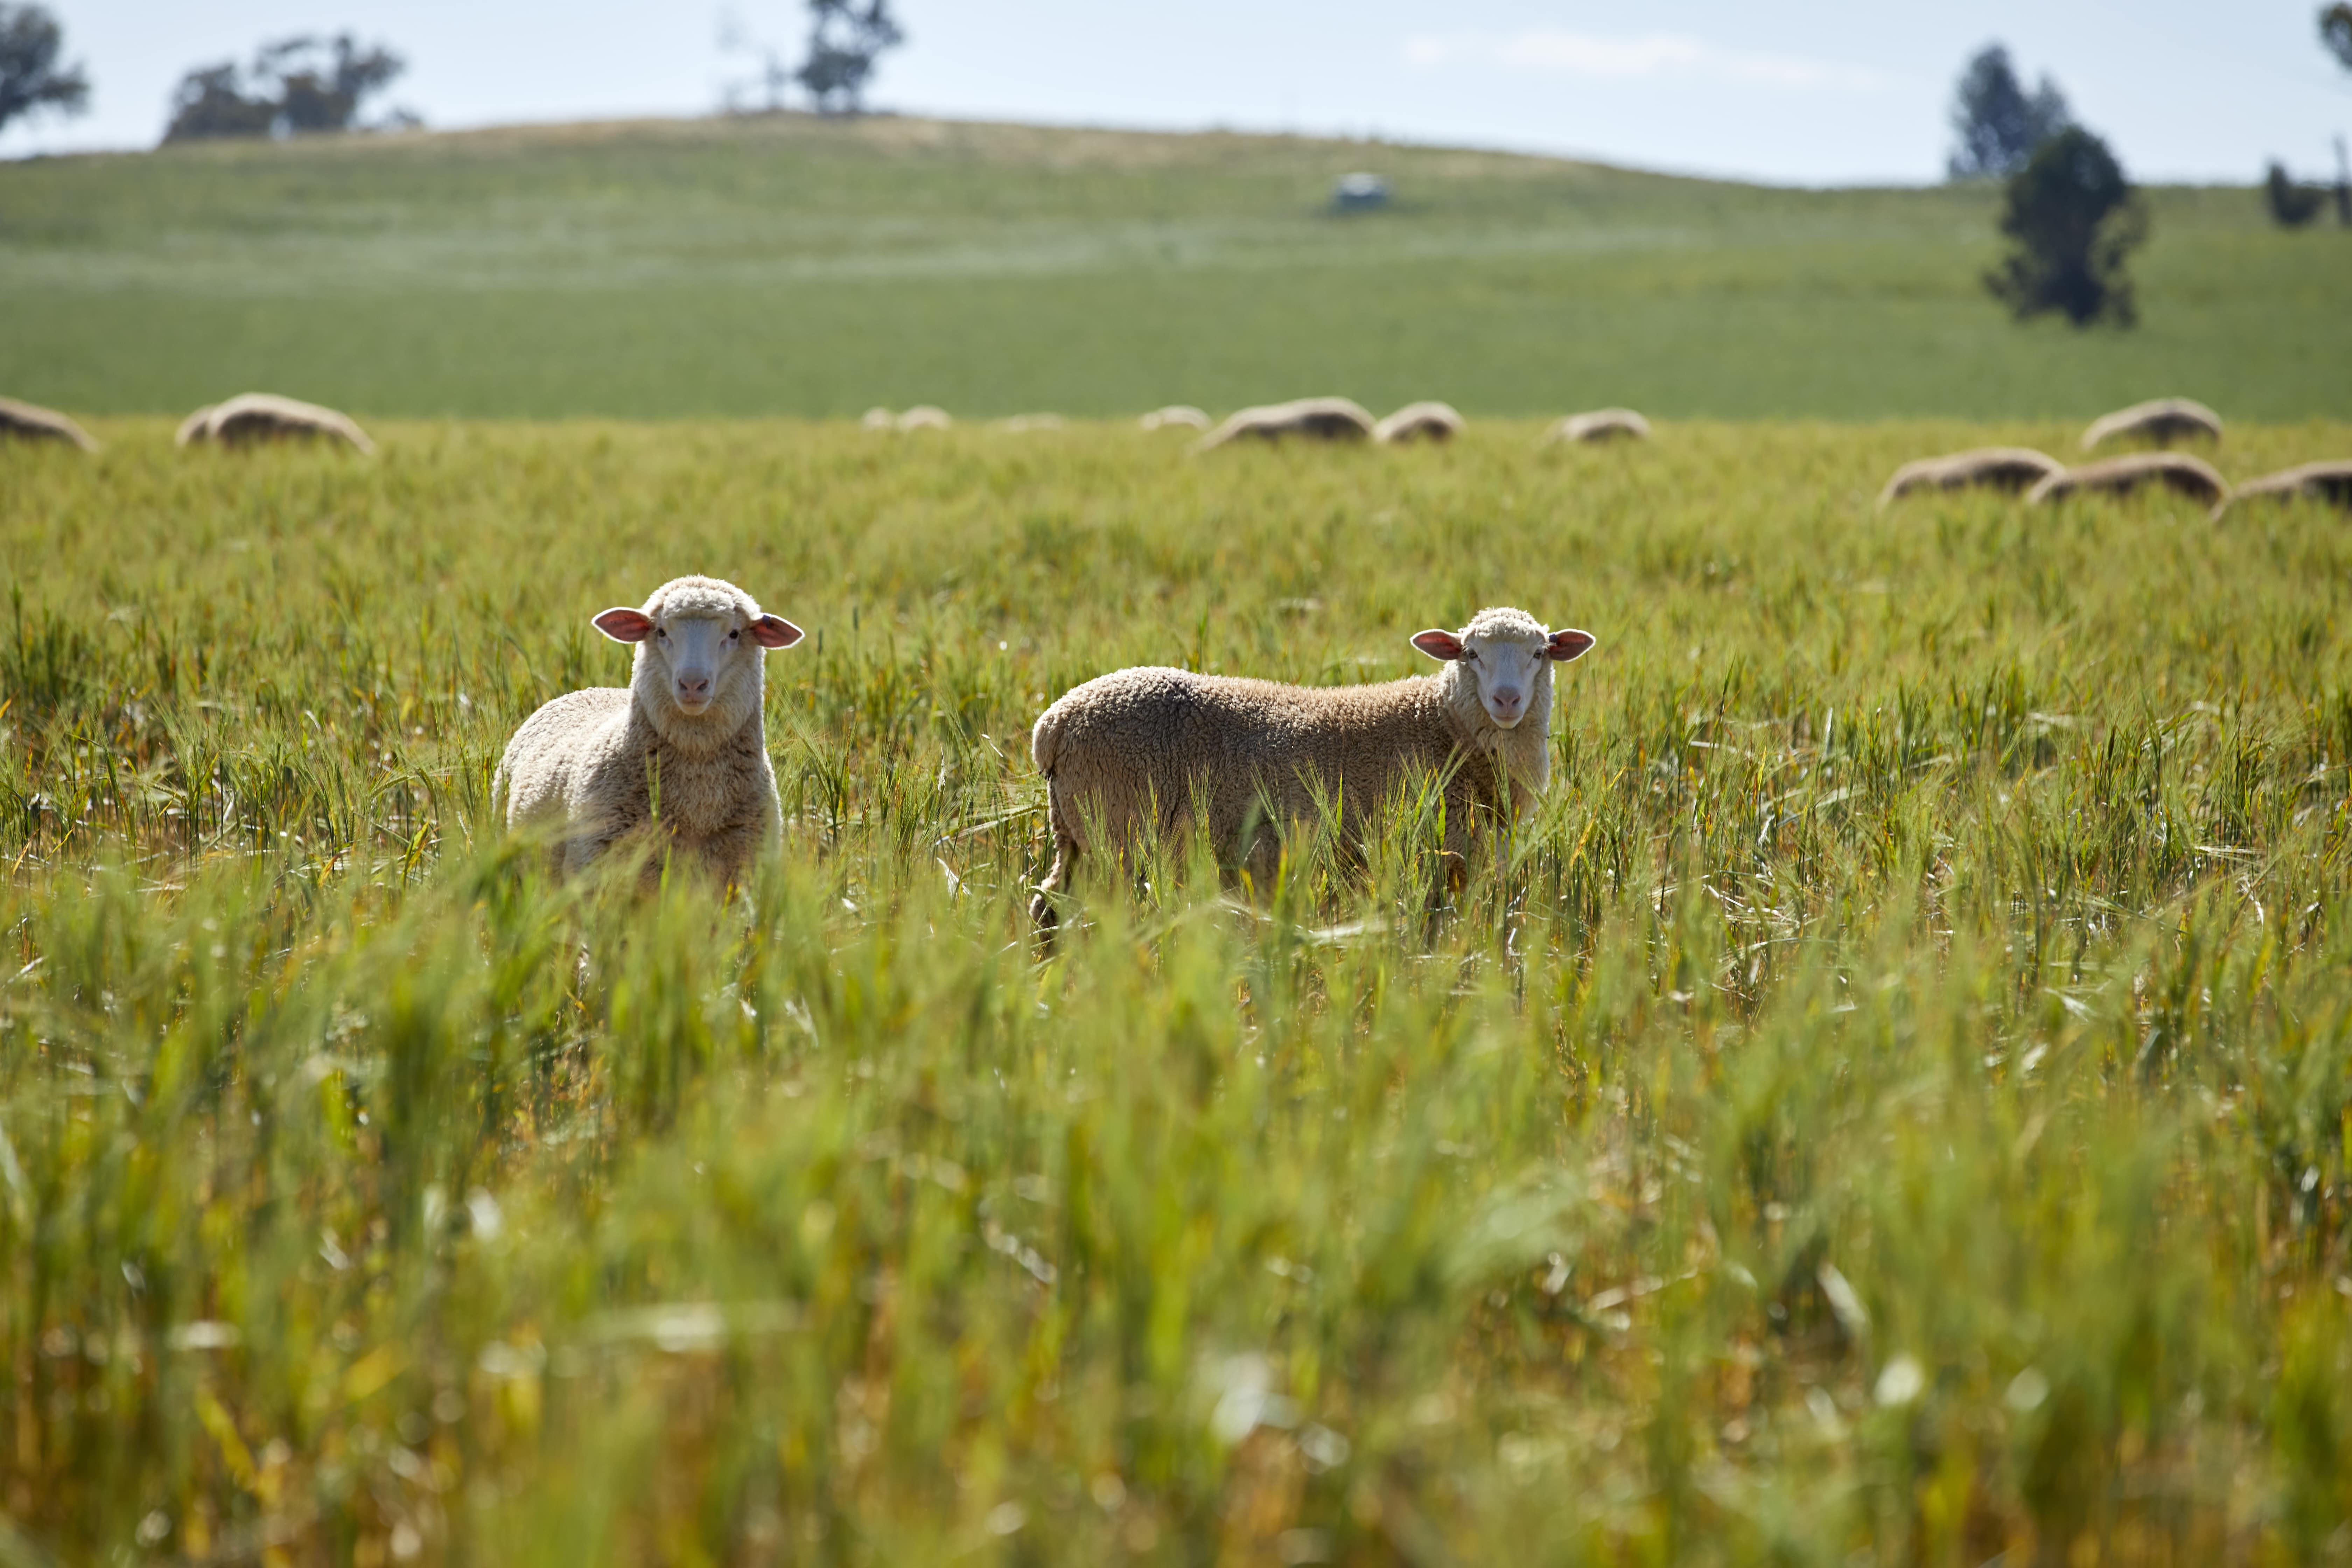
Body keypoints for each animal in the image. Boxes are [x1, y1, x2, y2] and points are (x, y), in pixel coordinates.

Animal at [1026, 607, 1596, 929]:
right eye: (1471, 654)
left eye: (1541, 654)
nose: (1507, 700)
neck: (1444, 726)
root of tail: (1054, 723)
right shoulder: (1437, 854)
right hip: (1117, 832)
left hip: (1076, 834)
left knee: (1049, 905)